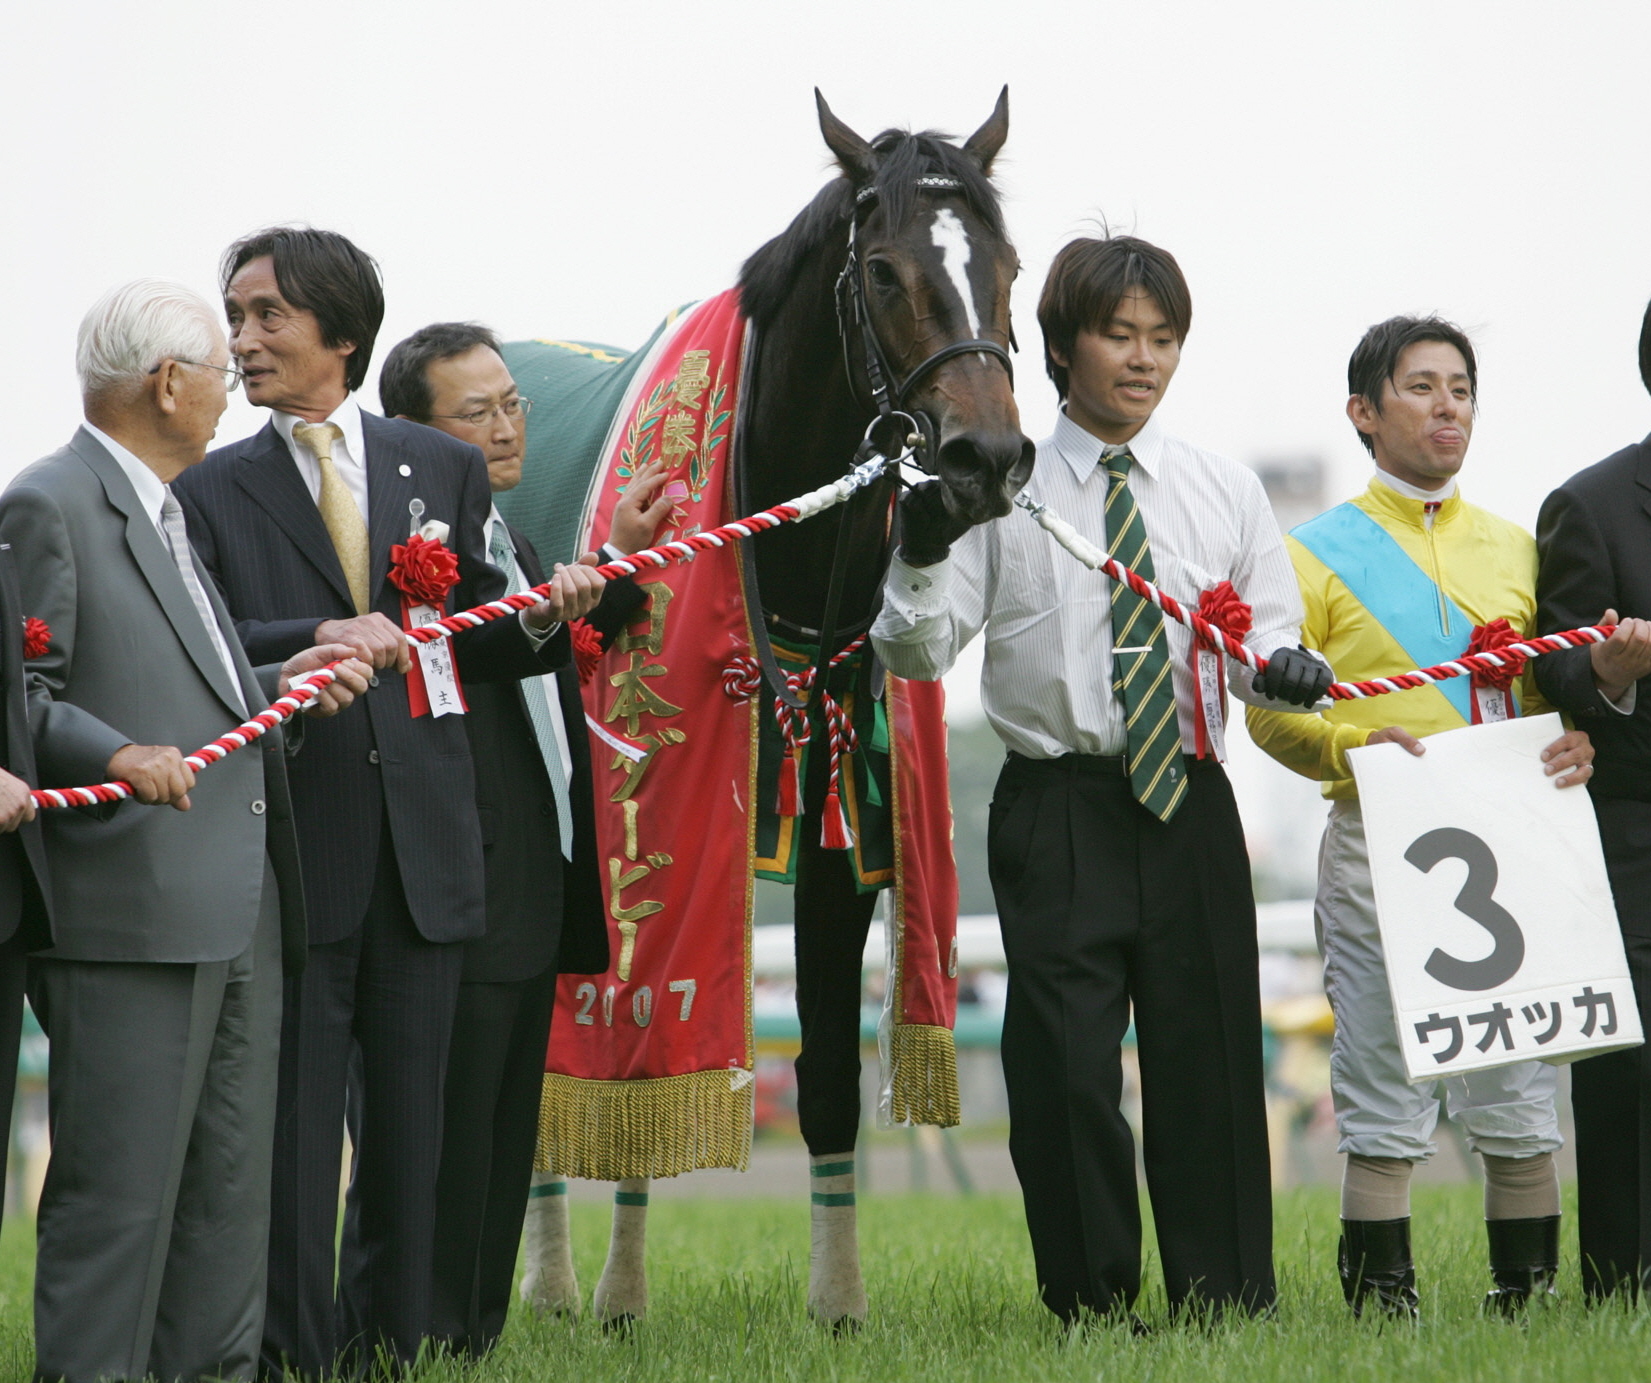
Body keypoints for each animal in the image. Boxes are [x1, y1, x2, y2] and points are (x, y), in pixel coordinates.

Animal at [521, 92, 1030, 1326]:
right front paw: (614, 1292)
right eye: (885, 271)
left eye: (1007, 266)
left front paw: (837, 1302)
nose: (985, 457)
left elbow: (831, 1075)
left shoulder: (842, 815)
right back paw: (552, 1282)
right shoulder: (648, 803)